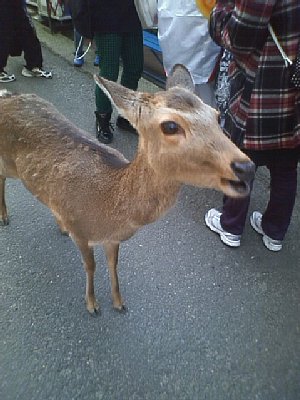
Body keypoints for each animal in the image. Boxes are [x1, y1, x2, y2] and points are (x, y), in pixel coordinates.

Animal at [0, 64, 254, 314]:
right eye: (170, 126)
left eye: (217, 116)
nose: (246, 167)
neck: (107, 210)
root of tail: (7, 96)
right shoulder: (81, 232)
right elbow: (90, 266)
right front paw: (92, 305)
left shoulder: (112, 239)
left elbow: (113, 265)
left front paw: (119, 302)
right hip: (7, 162)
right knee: (2, 177)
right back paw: (4, 217)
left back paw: (60, 224)